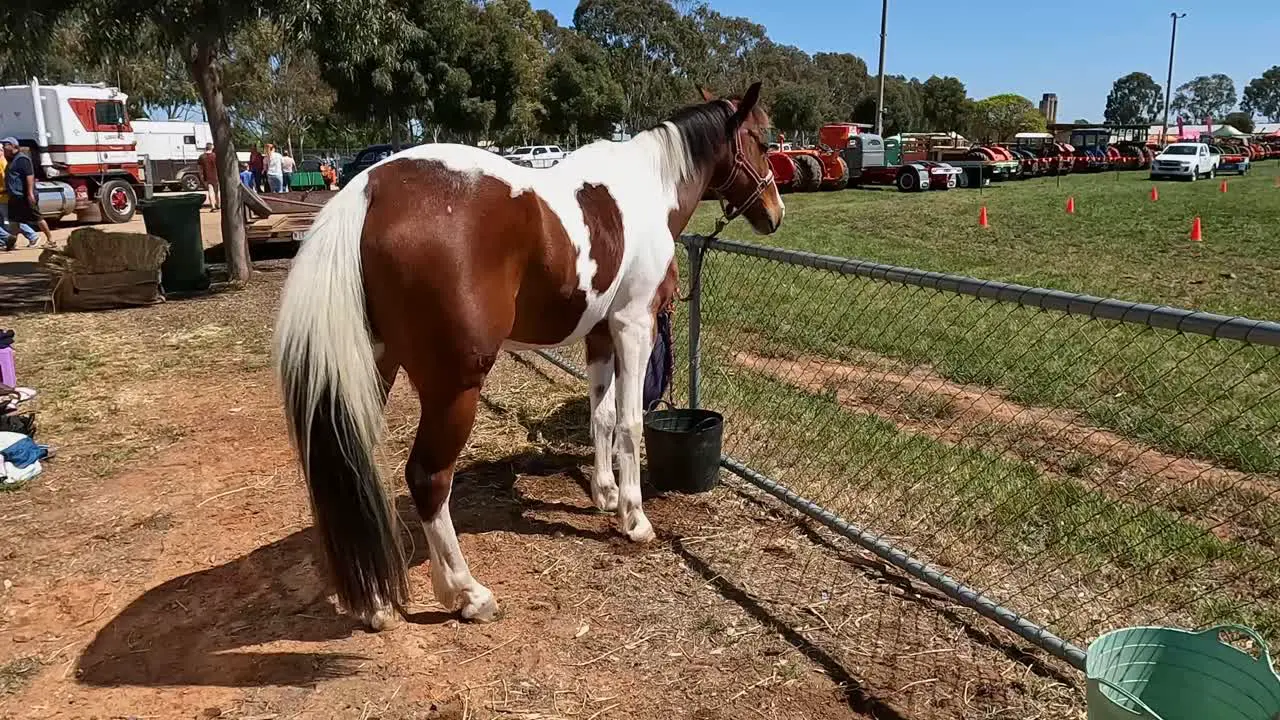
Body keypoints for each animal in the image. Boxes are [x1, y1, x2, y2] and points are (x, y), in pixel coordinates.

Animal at [275, 79, 783, 627]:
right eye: (764, 141)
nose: (776, 213)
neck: (646, 189)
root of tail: (368, 190)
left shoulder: (599, 333)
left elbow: (602, 415)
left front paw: (605, 494)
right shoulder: (633, 326)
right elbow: (631, 423)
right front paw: (634, 517)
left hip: (373, 366)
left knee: (353, 468)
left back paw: (377, 605)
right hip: (454, 385)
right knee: (427, 478)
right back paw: (467, 594)